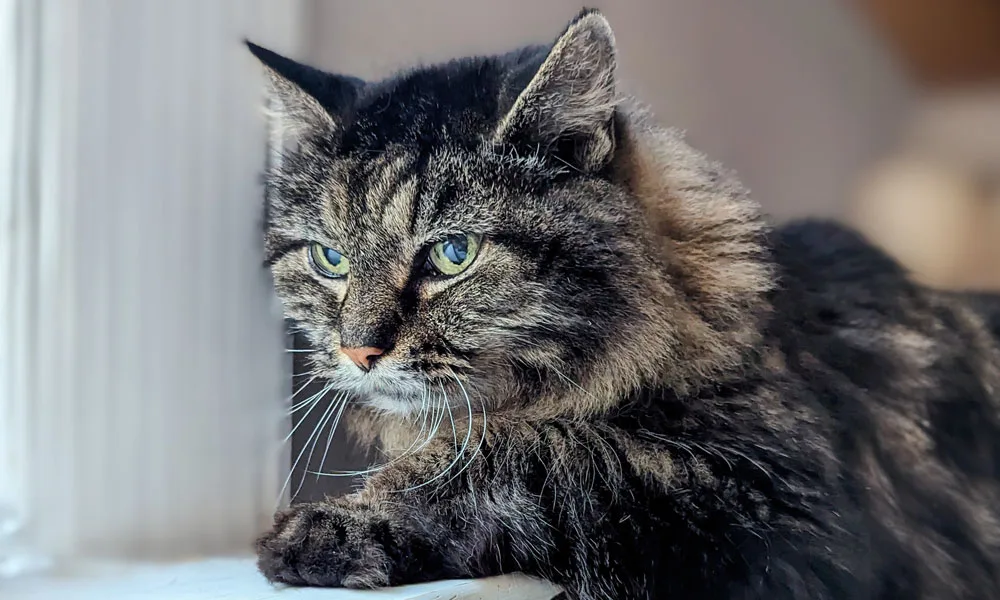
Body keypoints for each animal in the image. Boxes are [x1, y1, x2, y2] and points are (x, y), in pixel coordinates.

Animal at [244, 9, 1000, 600]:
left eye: (454, 254)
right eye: (330, 259)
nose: (359, 350)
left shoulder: (778, 497)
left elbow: (531, 452)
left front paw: (342, 523)